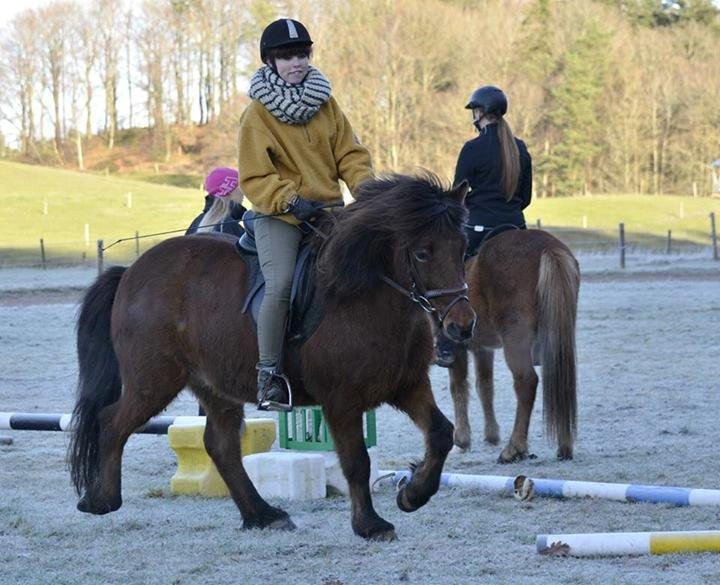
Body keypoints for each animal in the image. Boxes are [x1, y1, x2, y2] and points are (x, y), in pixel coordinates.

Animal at [66, 172, 472, 540]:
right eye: (422, 253)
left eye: (462, 247)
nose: (463, 325)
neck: (366, 293)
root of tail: (131, 273)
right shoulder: (341, 401)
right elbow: (357, 461)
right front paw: (371, 525)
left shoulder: (407, 385)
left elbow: (441, 433)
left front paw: (413, 494)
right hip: (154, 380)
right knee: (111, 423)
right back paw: (101, 499)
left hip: (214, 384)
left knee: (221, 447)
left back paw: (262, 514)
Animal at [450, 228, 580, 460]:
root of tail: (549, 247)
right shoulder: (483, 349)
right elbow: (485, 386)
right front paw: (491, 434)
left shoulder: (455, 342)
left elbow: (458, 385)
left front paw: (461, 439)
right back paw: (564, 446)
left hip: (515, 340)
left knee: (526, 382)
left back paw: (514, 448)